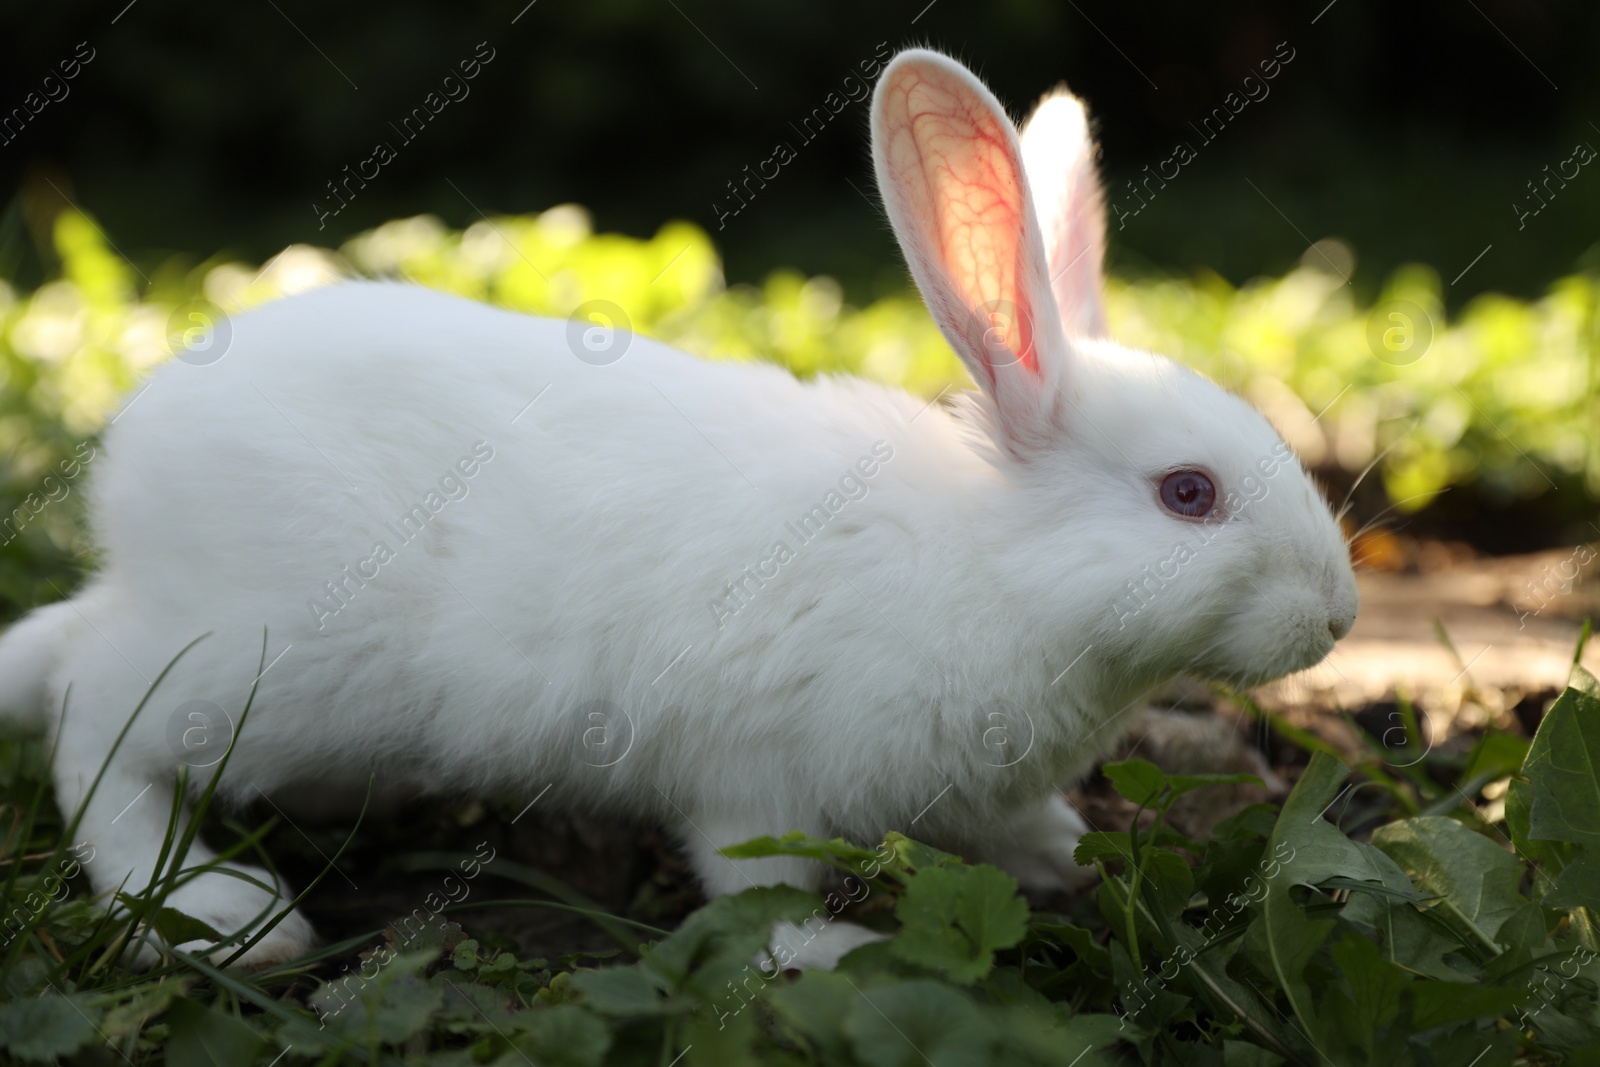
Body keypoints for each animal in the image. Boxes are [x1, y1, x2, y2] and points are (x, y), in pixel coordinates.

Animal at [0, 47, 1350, 966]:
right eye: (1187, 494)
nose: (1338, 616)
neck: (986, 560)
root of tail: (132, 468)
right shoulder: (759, 776)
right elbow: (756, 888)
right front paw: (835, 953)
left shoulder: (984, 787)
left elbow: (1027, 831)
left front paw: (1086, 856)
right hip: (265, 668)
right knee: (90, 708)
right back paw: (215, 908)